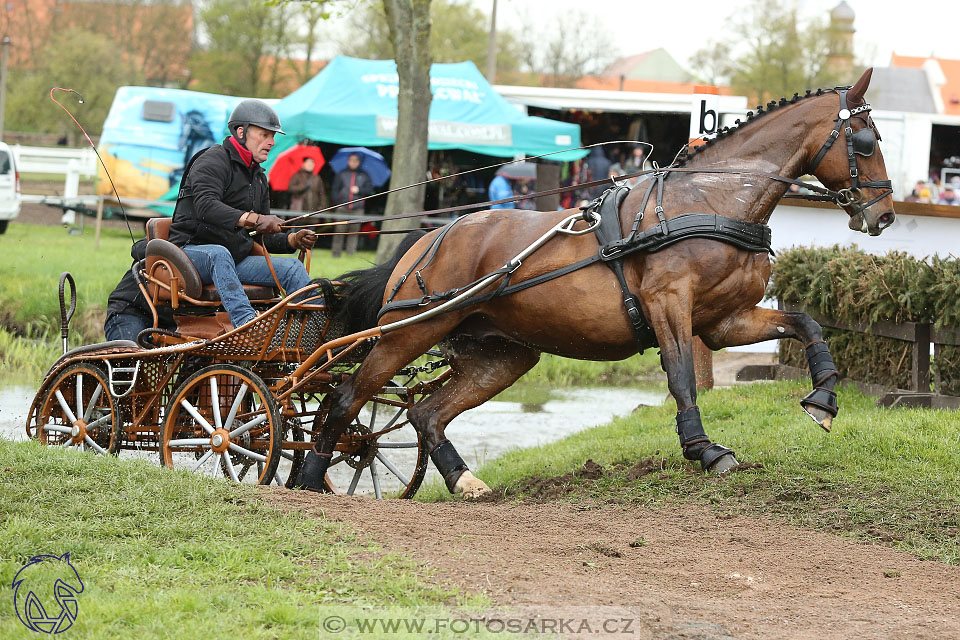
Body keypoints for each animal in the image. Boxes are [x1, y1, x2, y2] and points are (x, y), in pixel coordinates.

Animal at [298, 71, 892, 500]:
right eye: (865, 141)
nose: (883, 214)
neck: (709, 201)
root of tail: (431, 236)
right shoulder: (668, 304)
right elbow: (682, 376)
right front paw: (703, 449)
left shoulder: (724, 322)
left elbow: (806, 324)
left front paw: (823, 398)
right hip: (409, 332)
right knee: (346, 398)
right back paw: (309, 478)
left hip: (501, 354)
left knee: (426, 414)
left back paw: (463, 480)